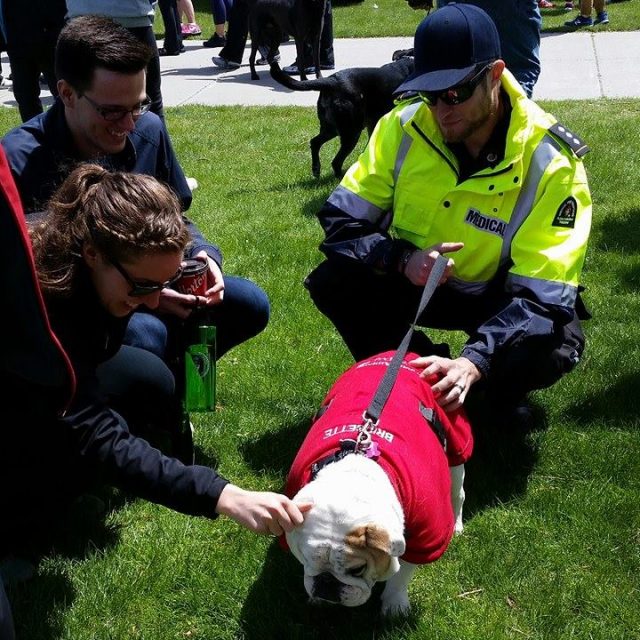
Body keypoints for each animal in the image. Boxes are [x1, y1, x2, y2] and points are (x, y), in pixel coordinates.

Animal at [270, 54, 416, 178]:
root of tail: (331, 81)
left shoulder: (373, 125)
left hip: (331, 128)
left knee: (315, 142)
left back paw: (316, 169)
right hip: (352, 132)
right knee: (336, 161)